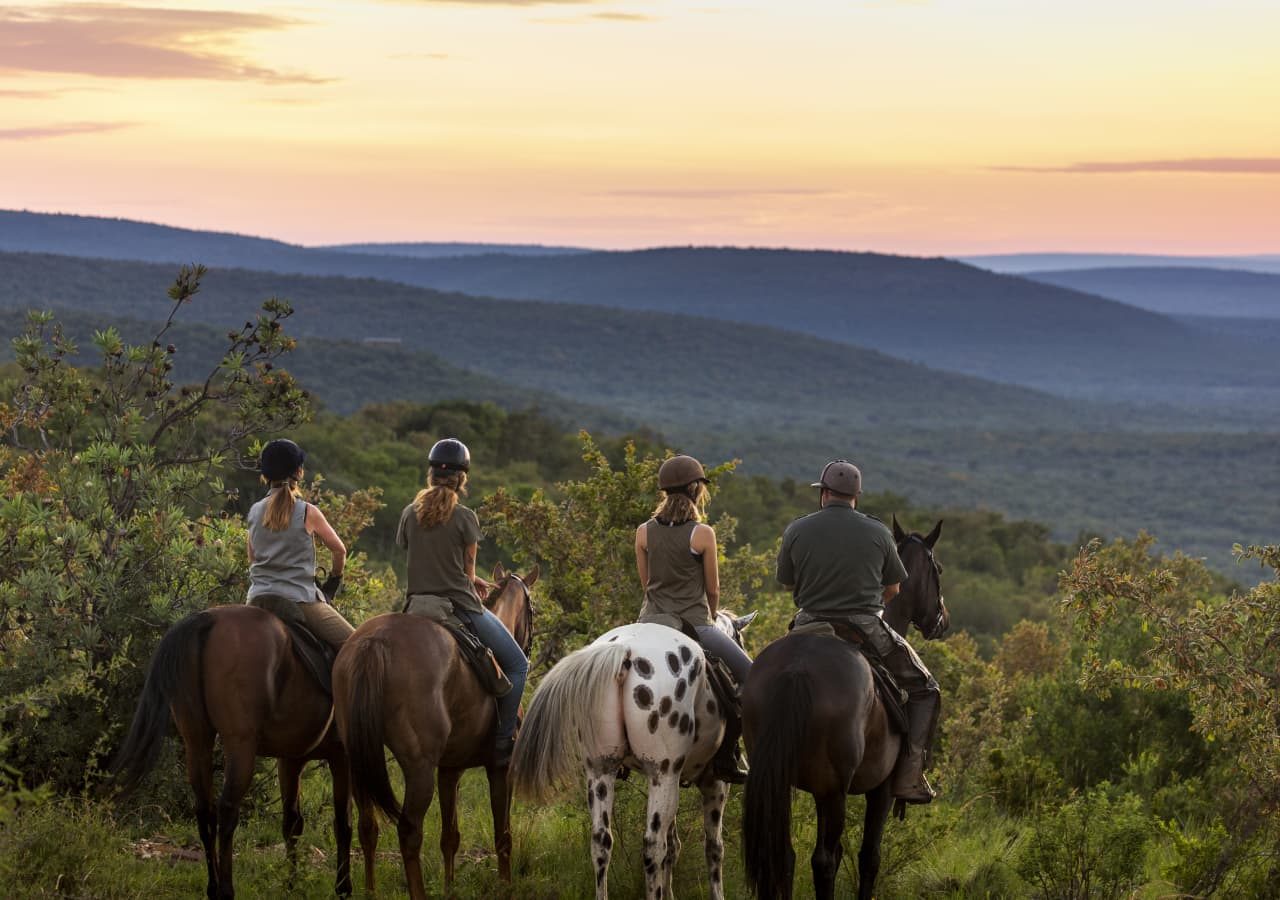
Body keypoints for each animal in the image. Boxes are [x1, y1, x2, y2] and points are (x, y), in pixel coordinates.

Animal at [112, 604, 358, 900]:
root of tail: (207, 619)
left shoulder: (289, 761)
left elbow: (292, 823)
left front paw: (292, 884)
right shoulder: (341, 757)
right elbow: (342, 824)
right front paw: (343, 888)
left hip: (197, 740)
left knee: (205, 810)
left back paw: (213, 886)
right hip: (240, 746)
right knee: (227, 810)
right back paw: (227, 890)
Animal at [332, 563, 537, 900]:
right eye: (533, 609)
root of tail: (375, 642)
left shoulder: (450, 770)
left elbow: (449, 837)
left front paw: (449, 888)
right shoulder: (499, 768)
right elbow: (503, 834)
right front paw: (505, 886)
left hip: (358, 759)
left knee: (367, 826)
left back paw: (371, 891)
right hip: (419, 770)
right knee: (409, 832)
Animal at [506, 611, 747, 900]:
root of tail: (625, 648)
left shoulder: (678, 781)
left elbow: (675, 845)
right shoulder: (714, 783)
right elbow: (713, 848)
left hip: (602, 771)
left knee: (601, 842)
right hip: (662, 774)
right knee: (653, 846)